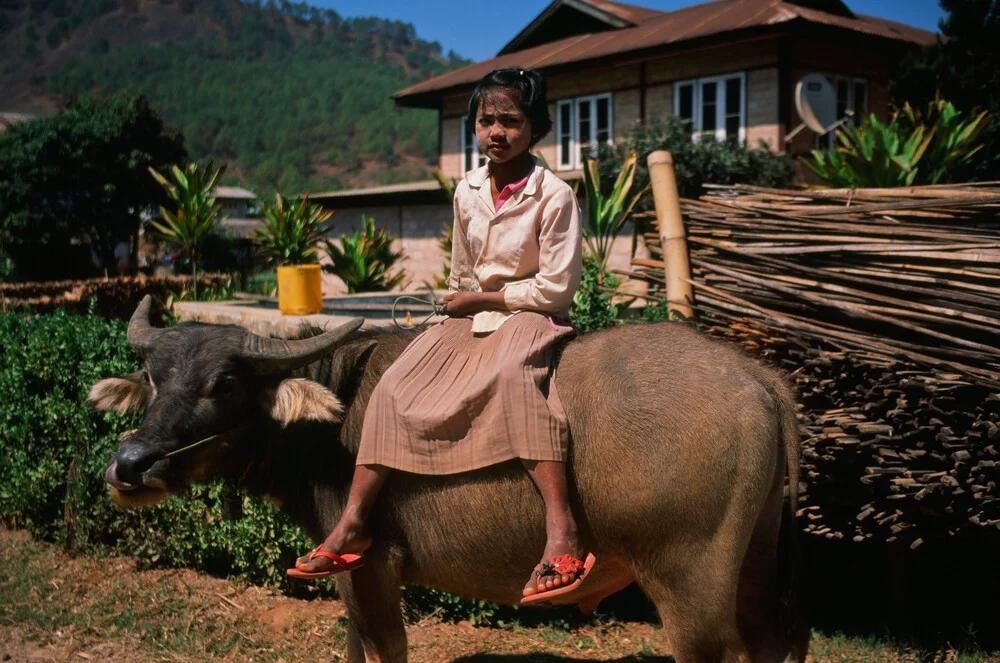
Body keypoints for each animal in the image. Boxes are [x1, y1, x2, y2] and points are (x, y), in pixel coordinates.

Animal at [92, 298, 812, 663]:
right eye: (153, 376)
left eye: (226, 383)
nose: (131, 465)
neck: (329, 426)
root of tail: (757, 379)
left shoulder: (370, 567)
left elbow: (386, 650)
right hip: (753, 561)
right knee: (781, 638)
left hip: (689, 584)